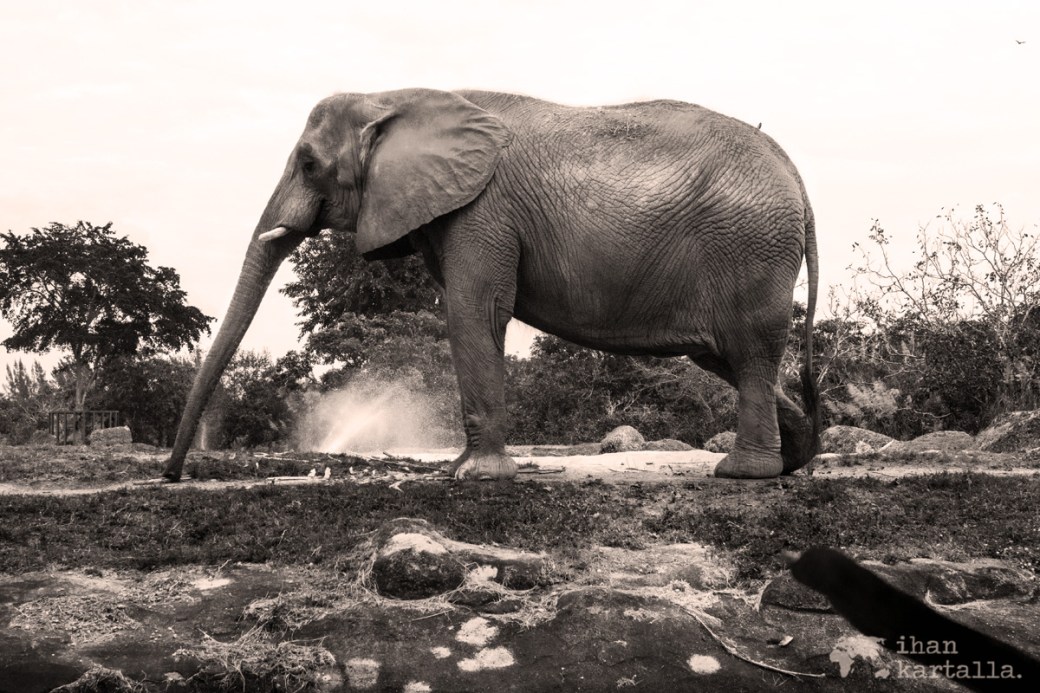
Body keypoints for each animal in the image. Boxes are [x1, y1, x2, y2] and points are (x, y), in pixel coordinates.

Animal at [162, 88, 820, 482]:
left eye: (307, 164)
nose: (172, 474)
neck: (398, 97)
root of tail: (795, 174)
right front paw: (465, 469)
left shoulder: (483, 211)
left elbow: (473, 311)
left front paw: (472, 477)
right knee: (731, 358)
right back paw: (794, 460)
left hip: (750, 249)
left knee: (749, 352)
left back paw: (744, 474)